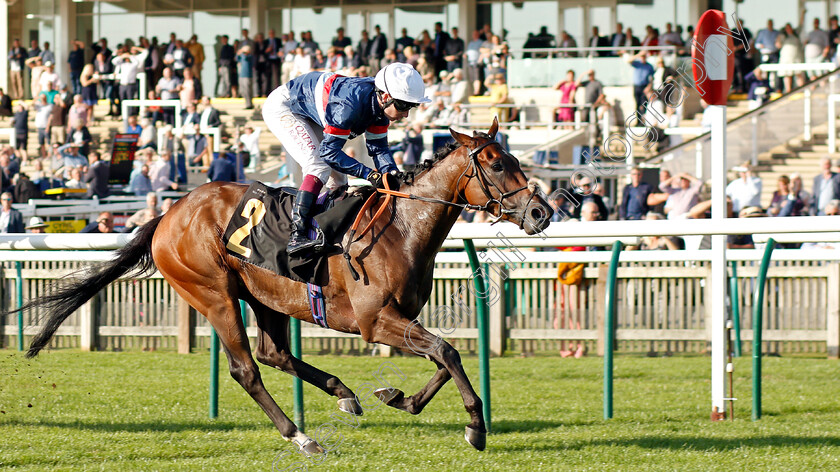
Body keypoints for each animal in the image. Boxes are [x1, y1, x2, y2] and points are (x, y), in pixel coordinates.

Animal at [18, 116, 552, 456]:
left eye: (514, 159)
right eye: (497, 164)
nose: (541, 212)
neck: (401, 227)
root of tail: (168, 215)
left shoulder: (402, 316)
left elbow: (444, 356)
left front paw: (400, 398)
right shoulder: (373, 320)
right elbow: (447, 351)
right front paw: (475, 428)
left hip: (265, 295)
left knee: (274, 353)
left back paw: (344, 393)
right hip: (214, 294)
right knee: (247, 369)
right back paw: (300, 436)